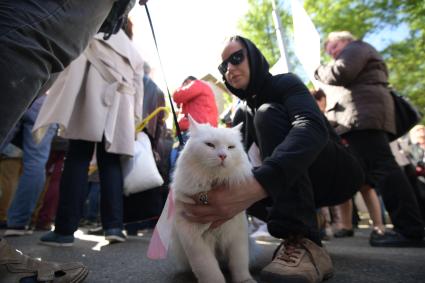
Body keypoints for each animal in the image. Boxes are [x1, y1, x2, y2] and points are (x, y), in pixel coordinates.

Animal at [169, 116, 255, 282]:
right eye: (210, 145)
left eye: (230, 147)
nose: (223, 156)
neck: (213, 182)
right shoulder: (194, 239)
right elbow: (209, 270)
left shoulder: (237, 234)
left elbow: (239, 263)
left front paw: (245, 280)